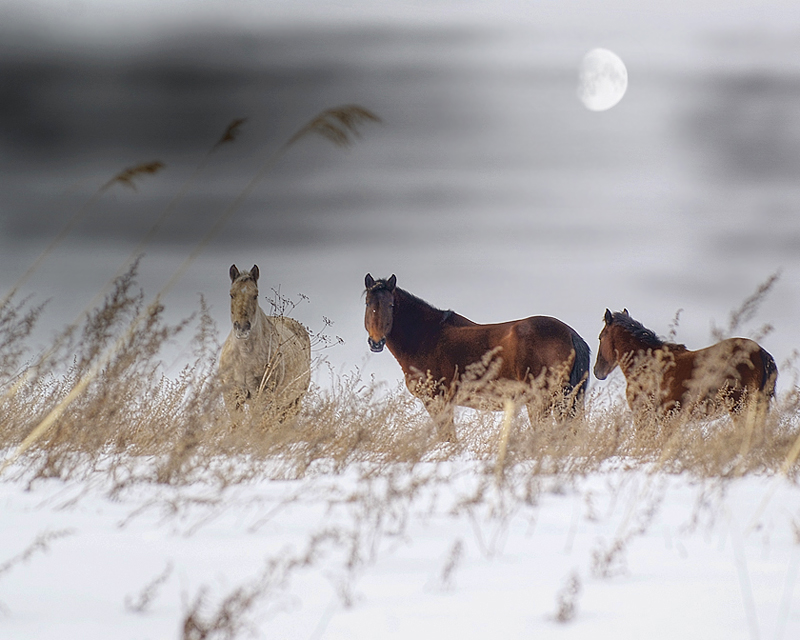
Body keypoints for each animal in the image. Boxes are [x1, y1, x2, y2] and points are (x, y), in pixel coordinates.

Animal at [220, 264, 310, 424]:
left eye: (255, 295)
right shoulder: (232, 397)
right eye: (232, 294)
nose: (242, 328)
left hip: (293, 401)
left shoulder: (262, 395)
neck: (244, 358)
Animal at [362, 272, 588, 438]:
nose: (376, 342)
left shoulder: (436, 401)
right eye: (368, 304)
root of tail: (570, 333)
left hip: (543, 401)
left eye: (391, 305)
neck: (426, 335)